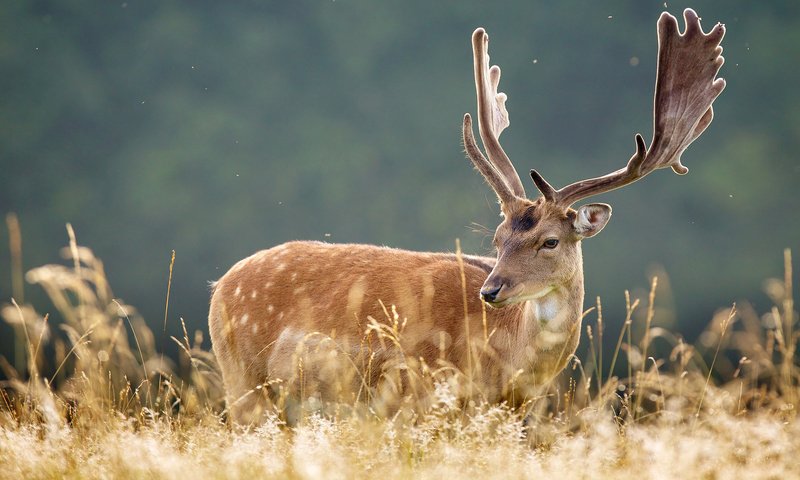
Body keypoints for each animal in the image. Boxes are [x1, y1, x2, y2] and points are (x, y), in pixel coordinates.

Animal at [208, 8, 724, 424]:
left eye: (550, 240)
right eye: (497, 239)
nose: (491, 290)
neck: (506, 364)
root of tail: (219, 287)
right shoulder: (421, 395)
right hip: (243, 383)